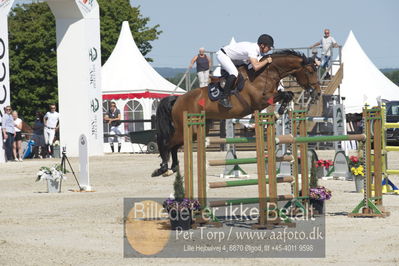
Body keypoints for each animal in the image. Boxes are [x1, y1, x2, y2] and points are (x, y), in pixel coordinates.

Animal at [152, 51, 322, 178]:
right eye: (310, 71)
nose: (318, 93)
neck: (265, 73)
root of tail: (178, 99)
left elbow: (288, 94)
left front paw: (279, 112)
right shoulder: (261, 100)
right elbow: (285, 94)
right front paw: (278, 112)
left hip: (194, 130)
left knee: (174, 146)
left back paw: (173, 167)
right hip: (185, 128)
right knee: (167, 143)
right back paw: (162, 168)